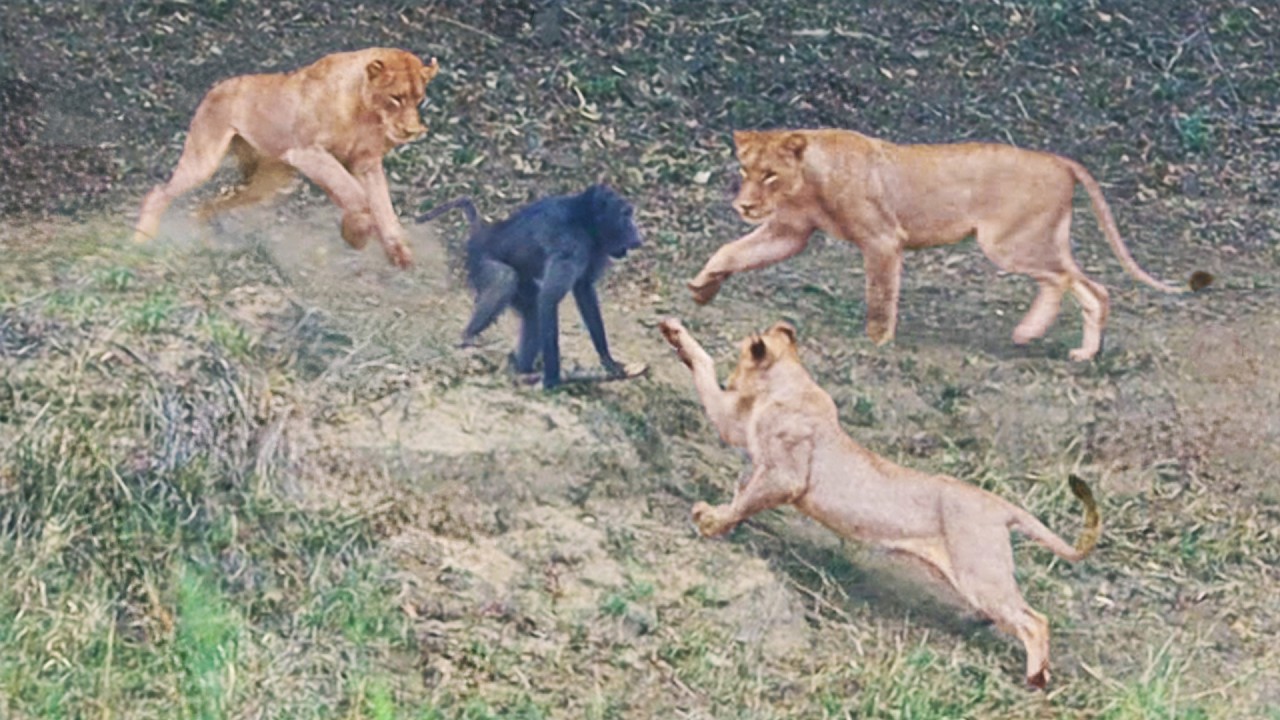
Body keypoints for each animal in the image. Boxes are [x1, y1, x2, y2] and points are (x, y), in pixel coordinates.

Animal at [133, 48, 440, 268]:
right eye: (396, 98)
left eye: (419, 99)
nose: (412, 130)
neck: (366, 114)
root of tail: (217, 87)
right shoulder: (307, 152)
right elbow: (354, 194)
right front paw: (356, 235)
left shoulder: (366, 164)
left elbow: (383, 207)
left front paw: (398, 252)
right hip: (204, 160)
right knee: (159, 192)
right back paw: (141, 240)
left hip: (269, 182)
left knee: (214, 200)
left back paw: (204, 234)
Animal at [417, 184, 643, 389]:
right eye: (626, 215)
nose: (639, 237)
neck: (585, 220)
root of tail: (482, 234)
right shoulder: (571, 246)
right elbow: (549, 298)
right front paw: (552, 379)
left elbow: (583, 291)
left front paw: (608, 360)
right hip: (479, 262)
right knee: (505, 279)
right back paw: (469, 337)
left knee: (532, 311)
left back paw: (521, 369)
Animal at [659, 317, 1100, 687]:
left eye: (740, 359)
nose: (733, 380)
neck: (789, 382)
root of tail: (1000, 504)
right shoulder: (742, 433)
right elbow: (708, 384)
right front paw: (676, 335)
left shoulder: (785, 477)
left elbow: (744, 497)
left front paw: (710, 522)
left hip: (981, 573)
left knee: (1035, 620)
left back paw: (1036, 676)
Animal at [688, 128, 1208, 361]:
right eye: (745, 170)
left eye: (769, 175)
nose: (744, 205)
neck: (809, 181)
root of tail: (1059, 159)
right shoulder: (789, 233)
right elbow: (733, 252)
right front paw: (702, 287)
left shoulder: (882, 240)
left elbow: (881, 295)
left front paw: (877, 343)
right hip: (1037, 239)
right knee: (1077, 285)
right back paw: (1054, 343)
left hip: (1008, 242)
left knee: (1076, 283)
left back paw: (1050, 340)